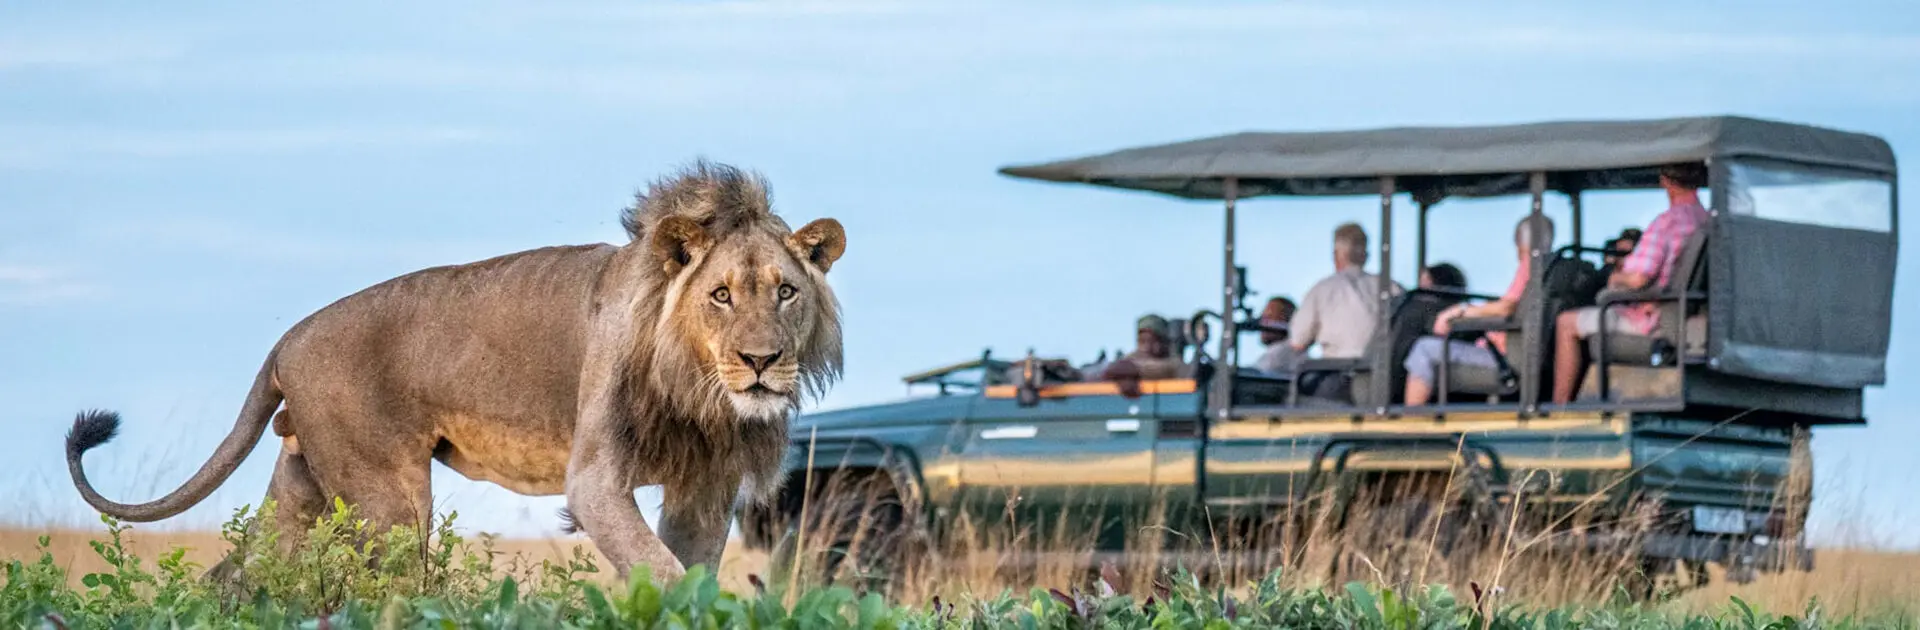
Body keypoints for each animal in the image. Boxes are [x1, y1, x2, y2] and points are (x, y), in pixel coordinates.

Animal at [63, 159, 846, 582]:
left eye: (785, 291)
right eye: (721, 295)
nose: (761, 362)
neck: (700, 390)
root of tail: (286, 339)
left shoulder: (705, 486)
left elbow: (688, 575)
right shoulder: (595, 479)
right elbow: (661, 569)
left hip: (304, 484)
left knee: (238, 575)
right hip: (387, 498)